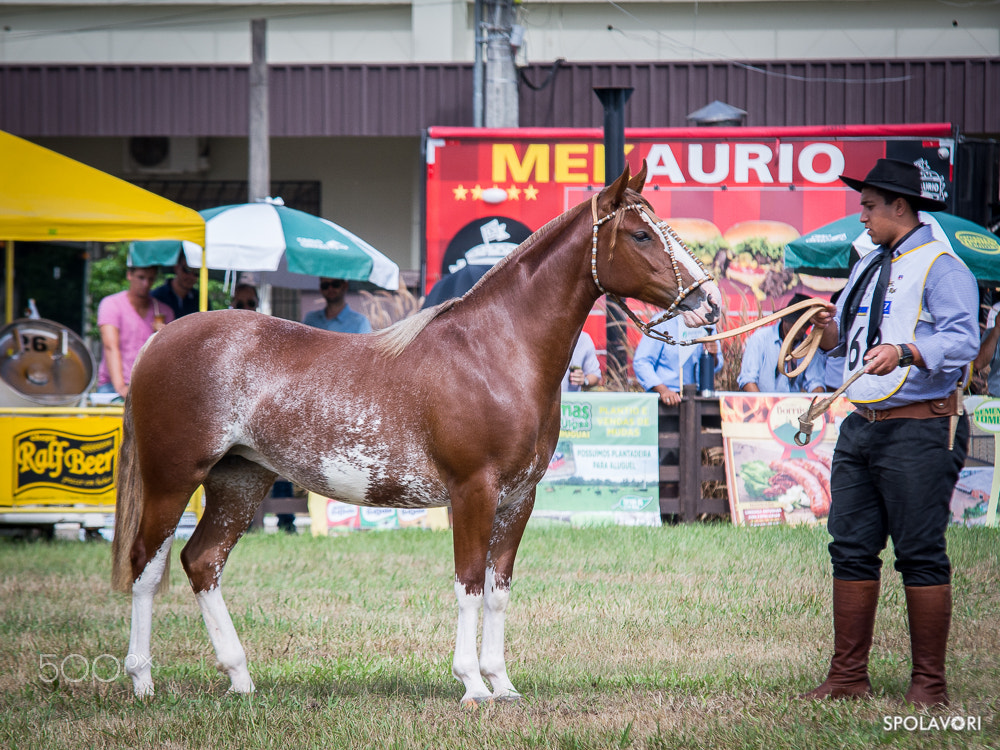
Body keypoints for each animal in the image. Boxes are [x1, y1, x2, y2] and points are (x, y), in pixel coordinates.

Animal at [111, 164, 720, 704]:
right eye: (641, 234)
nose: (710, 302)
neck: (495, 351)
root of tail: (161, 339)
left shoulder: (518, 498)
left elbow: (498, 590)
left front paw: (502, 683)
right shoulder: (473, 491)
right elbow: (468, 582)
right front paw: (472, 684)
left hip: (240, 481)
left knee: (202, 562)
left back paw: (240, 679)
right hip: (172, 480)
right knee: (145, 565)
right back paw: (142, 682)